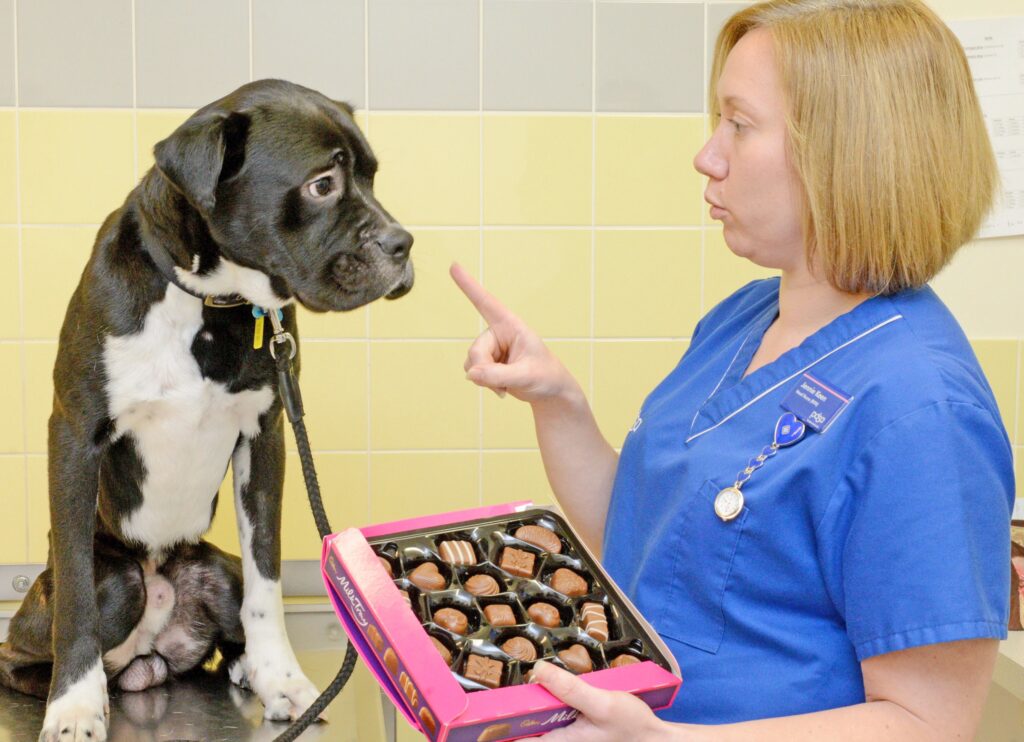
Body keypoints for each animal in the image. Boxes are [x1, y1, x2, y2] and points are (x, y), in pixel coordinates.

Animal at [0, 78, 411, 736]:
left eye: (372, 178)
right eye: (322, 184)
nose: (403, 243)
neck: (208, 300)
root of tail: (150, 652)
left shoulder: (266, 438)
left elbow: (267, 582)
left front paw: (280, 681)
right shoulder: (74, 434)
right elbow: (77, 597)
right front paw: (75, 705)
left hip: (215, 572)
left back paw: (240, 669)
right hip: (112, 583)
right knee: (34, 640)